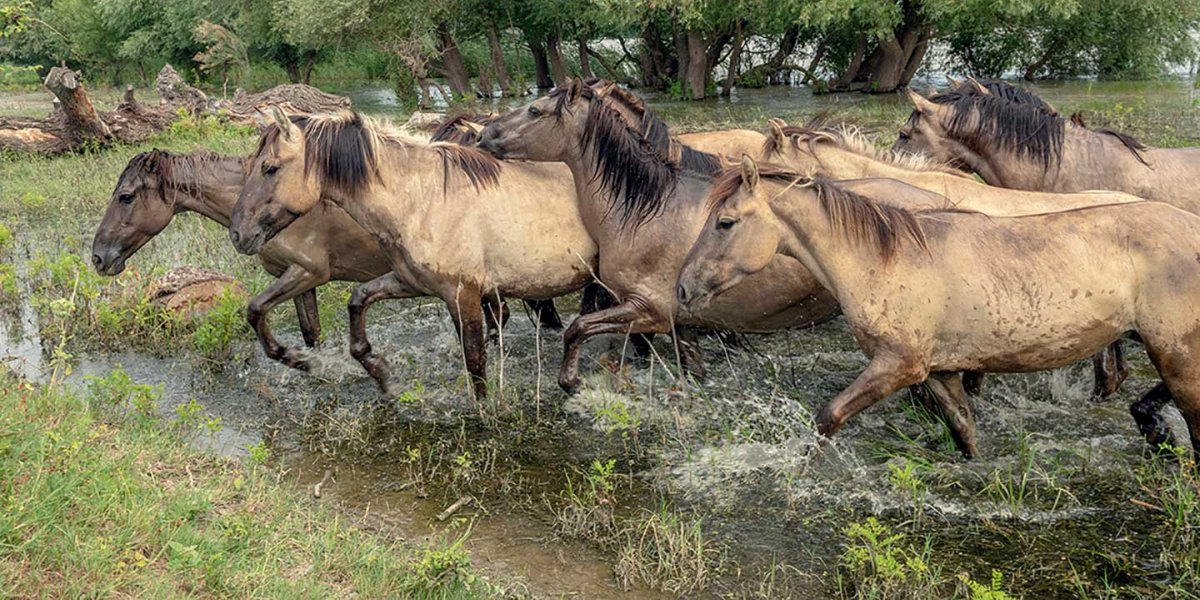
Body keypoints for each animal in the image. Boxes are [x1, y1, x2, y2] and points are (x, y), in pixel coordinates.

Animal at [226, 109, 597, 398]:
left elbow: (475, 363)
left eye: (270, 168)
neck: (422, 201)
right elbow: (358, 301)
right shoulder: (411, 281)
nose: (238, 233)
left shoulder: (463, 295)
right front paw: (381, 374)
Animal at [681, 156, 1200, 458]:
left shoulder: (899, 365)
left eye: (725, 222)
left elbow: (827, 417)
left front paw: (805, 465)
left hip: (1175, 352)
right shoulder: (941, 372)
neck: (883, 259)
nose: (683, 286)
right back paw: (1153, 428)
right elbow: (965, 433)